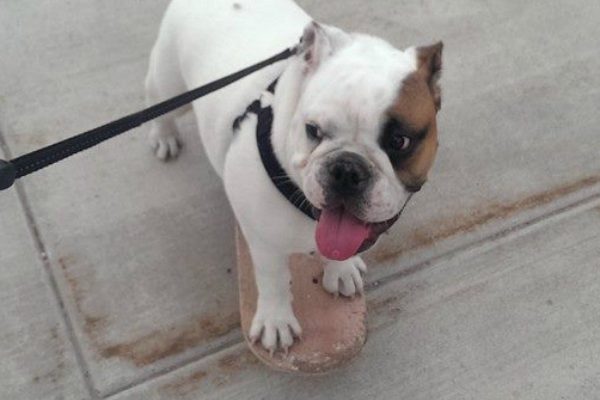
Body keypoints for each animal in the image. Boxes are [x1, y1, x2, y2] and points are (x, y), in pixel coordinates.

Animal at [148, 0, 442, 350]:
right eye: (312, 130)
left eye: (400, 141)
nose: (347, 169)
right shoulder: (263, 242)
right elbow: (273, 279)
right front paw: (276, 321)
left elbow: (338, 252)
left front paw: (340, 270)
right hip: (170, 85)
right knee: (158, 104)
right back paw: (164, 135)